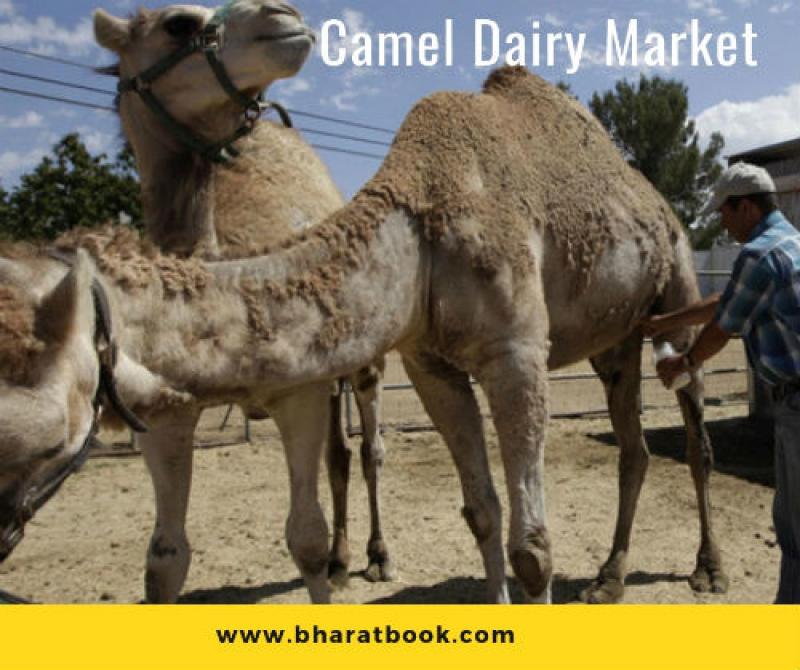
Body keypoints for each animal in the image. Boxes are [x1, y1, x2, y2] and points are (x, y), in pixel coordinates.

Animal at [0, 66, 728, 604]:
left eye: (40, 443)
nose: (3, 538)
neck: (420, 228)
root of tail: (654, 199)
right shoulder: (431, 365)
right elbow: (482, 511)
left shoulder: (516, 352)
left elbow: (532, 549)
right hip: (617, 338)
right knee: (633, 447)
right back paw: (608, 578)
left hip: (681, 285)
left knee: (694, 437)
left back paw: (707, 569)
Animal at [93, 0, 392, 584]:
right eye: (178, 23)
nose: (284, 14)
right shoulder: (164, 414)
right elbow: (165, 557)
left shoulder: (296, 393)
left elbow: (304, 536)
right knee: (340, 456)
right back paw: (343, 559)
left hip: (364, 363)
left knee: (370, 449)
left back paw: (378, 556)